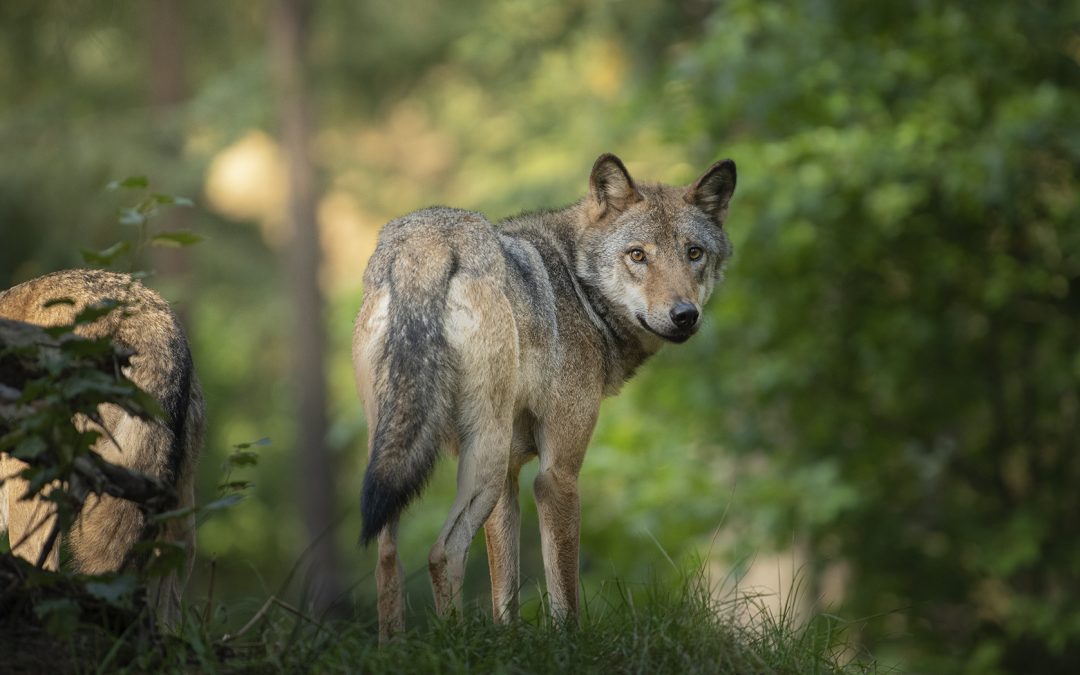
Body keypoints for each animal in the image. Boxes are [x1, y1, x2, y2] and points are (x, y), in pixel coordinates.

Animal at [352, 152, 734, 635]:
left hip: (401, 454)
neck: (578, 286)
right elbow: (563, 591)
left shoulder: (511, 479)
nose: (685, 315)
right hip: (486, 457)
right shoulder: (556, 475)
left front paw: (506, 639)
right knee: (442, 553)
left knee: (386, 558)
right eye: (638, 255)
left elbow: (506, 592)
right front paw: (567, 642)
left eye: (694, 253)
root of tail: (428, 242)